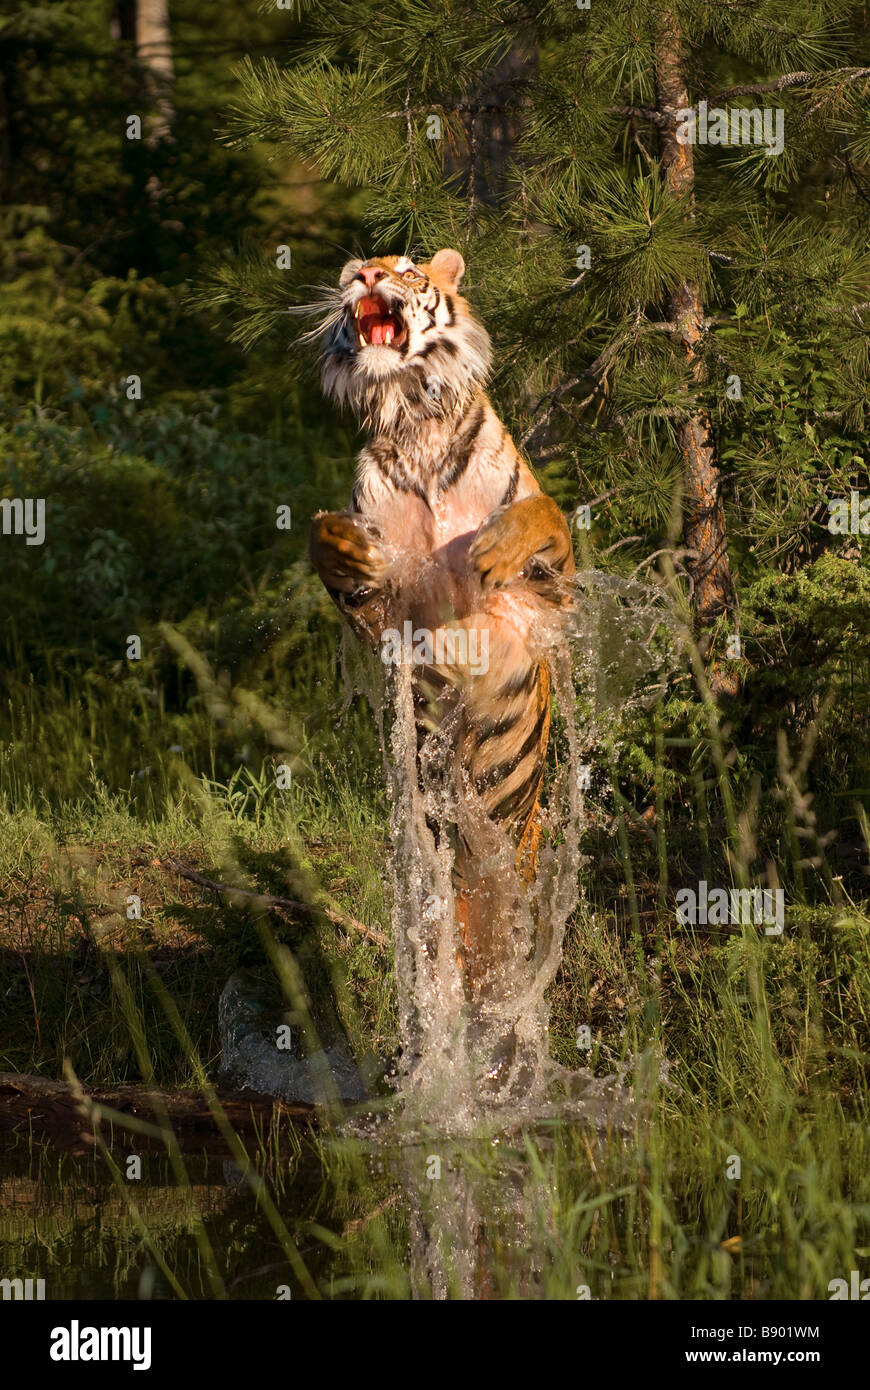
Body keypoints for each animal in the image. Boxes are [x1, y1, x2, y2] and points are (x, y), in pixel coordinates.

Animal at [308, 247, 572, 1011]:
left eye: (403, 268)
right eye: (351, 274)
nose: (364, 277)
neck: (413, 421)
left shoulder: (551, 590)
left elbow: (543, 514)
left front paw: (494, 547)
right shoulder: (380, 615)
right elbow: (322, 537)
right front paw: (343, 543)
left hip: (510, 821)